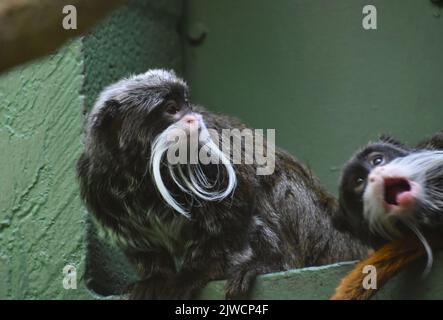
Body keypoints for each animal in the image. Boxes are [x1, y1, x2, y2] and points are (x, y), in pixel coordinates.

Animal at [77, 69, 368, 298]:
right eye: (171, 109)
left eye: (186, 104)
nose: (193, 117)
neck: (141, 170)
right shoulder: (96, 181)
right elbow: (140, 245)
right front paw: (154, 278)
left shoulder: (211, 152)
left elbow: (234, 209)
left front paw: (193, 273)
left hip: (318, 229)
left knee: (276, 188)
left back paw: (271, 263)